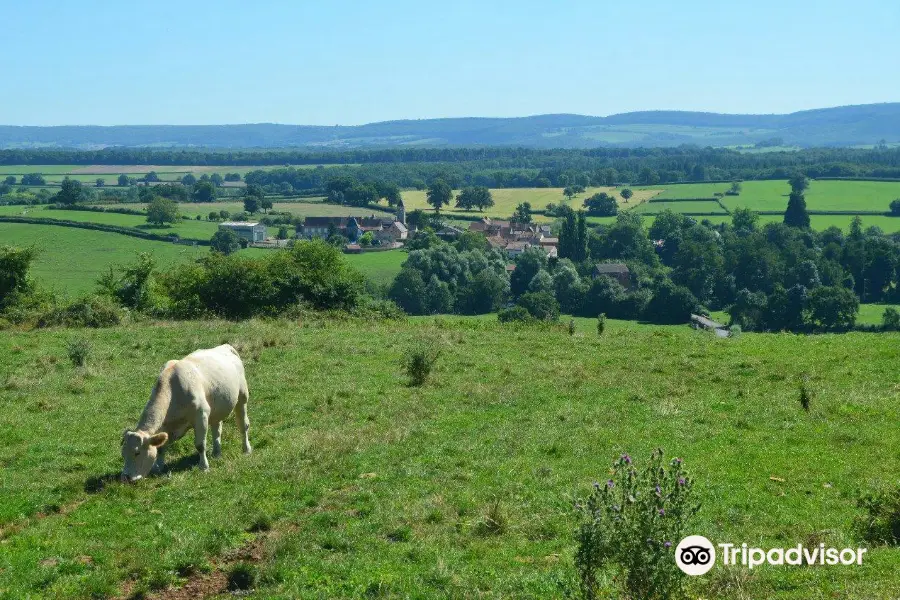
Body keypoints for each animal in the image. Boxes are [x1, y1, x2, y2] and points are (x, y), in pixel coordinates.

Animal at [119, 344, 251, 480]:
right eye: (123, 454)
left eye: (137, 452)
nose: (125, 477)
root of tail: (226, 346)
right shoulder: (166, 426)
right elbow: (161, 448)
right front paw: (158, 467)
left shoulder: (201, 415)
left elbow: (200, 445)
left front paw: (204, 467)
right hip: (217, 408)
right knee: (217, 429)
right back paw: (216, 453)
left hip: (242, 398)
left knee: (243, 425)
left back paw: (246, 449)